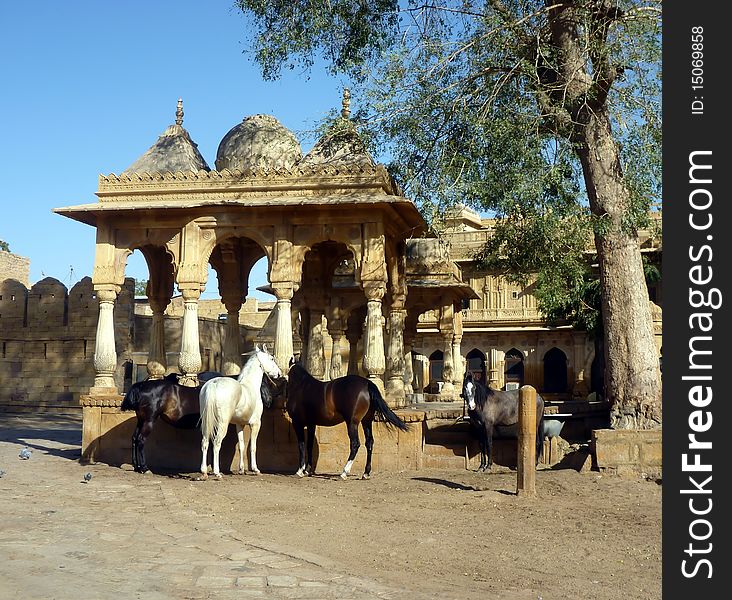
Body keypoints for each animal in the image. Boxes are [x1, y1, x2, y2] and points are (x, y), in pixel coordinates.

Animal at [197, 344, 284, 480]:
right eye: (271, 359)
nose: (279, 373)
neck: (251, 387)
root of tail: (214, 384)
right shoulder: (256, 424)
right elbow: (253, 447)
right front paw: (255, 469)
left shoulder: (240, 425)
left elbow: (241, 446)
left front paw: (241, 469)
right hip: (222, 424)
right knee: (216, 443)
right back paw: (217, 473)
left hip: (206, 423)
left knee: (205, 442)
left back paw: (204, 472)